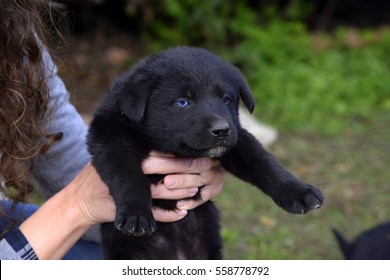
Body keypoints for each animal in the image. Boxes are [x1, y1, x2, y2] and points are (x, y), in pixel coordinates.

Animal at [87, 47, 324, 260]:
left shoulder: (237, 139)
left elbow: (264, 162)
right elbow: (127, 175)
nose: (221, 130)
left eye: (226, 99)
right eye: (183, 102)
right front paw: (136, 214)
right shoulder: (111, 137)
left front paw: (299, 191)